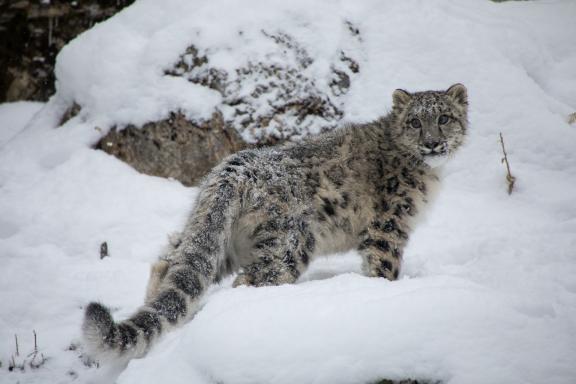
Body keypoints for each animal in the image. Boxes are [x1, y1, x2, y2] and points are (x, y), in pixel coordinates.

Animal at [82, 83, 468, 360]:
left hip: (220, 242)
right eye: (415, 121)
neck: (429, 174)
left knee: (171, 265)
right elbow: (384, 267)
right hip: (289, 246)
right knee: (253, 279)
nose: (433, 143)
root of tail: (233, 167)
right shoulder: (389, 225)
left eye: (444, 118)